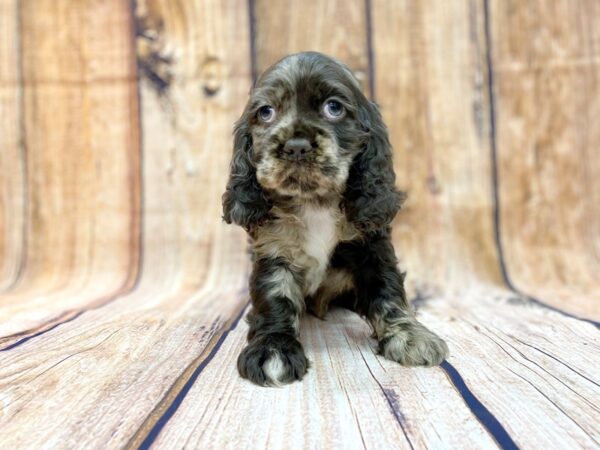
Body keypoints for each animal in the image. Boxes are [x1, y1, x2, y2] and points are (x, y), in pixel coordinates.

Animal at [223, 50, 448, 386]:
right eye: (265, 112)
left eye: (334, 107)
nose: (296, 147)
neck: (314, 202)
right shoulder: (274, 250)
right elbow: (275, 297)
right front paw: (273, 349)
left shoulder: (373, 246)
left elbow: (387, 291)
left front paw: (409, 336)